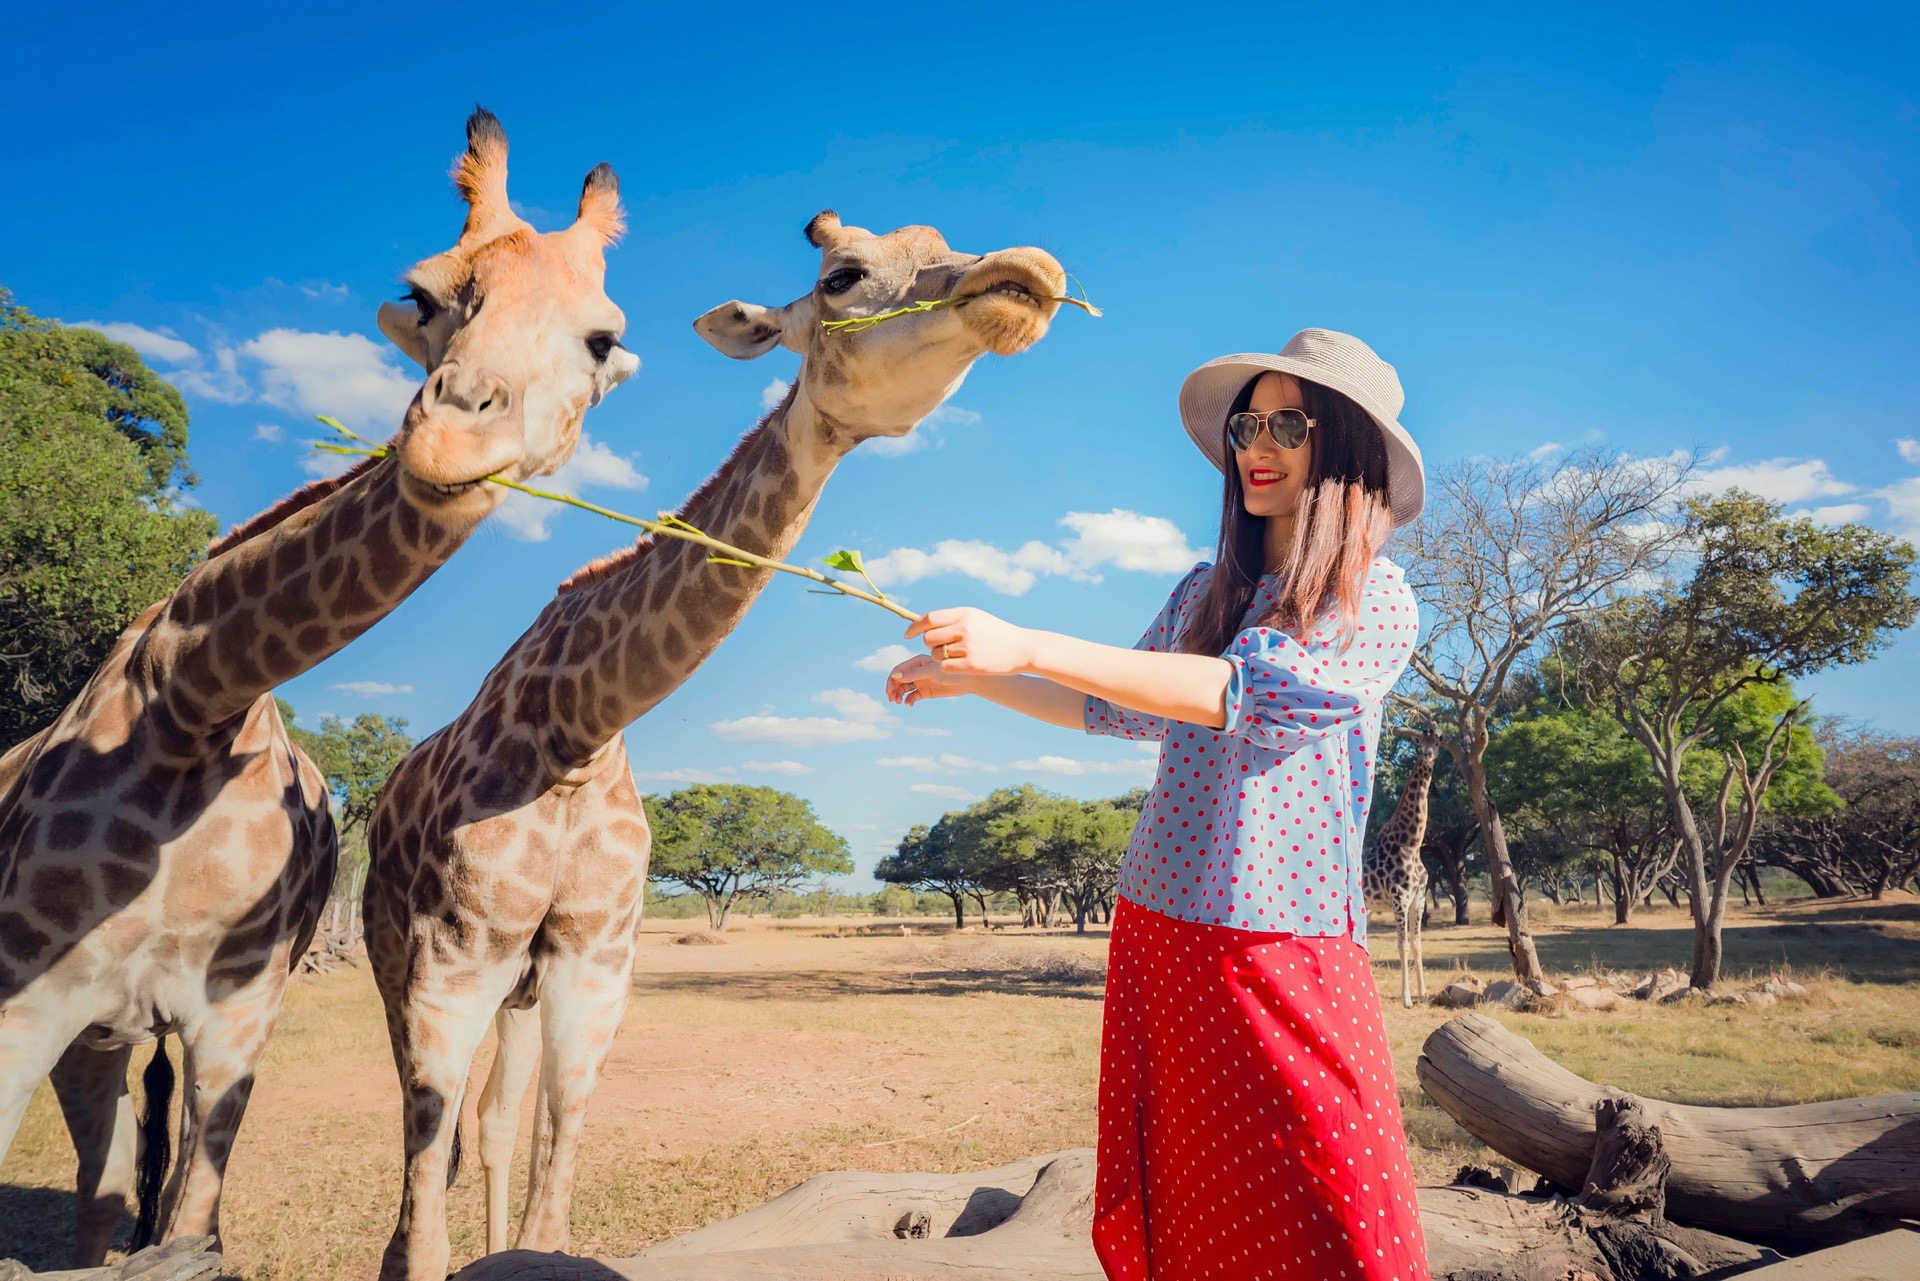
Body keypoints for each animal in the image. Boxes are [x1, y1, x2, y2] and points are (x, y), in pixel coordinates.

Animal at [0, 107, 637, 1259]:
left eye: (600, 337)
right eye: (426, 293)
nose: (454, 435)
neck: (191, 702)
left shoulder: (234, 1017)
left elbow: (192, 1224)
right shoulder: (26, 998)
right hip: (105, 1027)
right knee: (104, 1193)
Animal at [366, 210, 1075, 1281]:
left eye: (942, 240)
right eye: (843, 275)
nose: (1026, 276)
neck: (574, 728)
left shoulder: (595, 964)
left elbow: (549, 1198)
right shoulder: (453, 958)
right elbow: (421, 1200)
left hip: (519, 990)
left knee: (489, 1124)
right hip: (391, 949)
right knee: (429, 1144)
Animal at [1367, 737, 1443, 1006]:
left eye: (1439, 739)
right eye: (1421, 740)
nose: (1428, 755)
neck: (1411, 843)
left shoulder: (1418, 900)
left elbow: (1417, 943)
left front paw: (1423, 993)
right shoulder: (1400, 899)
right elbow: (1402, 945)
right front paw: (1407, 998)